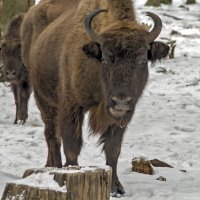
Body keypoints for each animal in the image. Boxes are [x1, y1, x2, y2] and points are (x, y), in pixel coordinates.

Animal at [24, 0, 170, 197]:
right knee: (52, 135)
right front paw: (71, 175)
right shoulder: (71, 106)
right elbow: (72, 145)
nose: (120, 101)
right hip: (44, 100)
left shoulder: (120, 117)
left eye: (142, 60)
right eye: (106, 58)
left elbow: (113, 150)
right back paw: (55, 167)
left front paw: (115, 188)